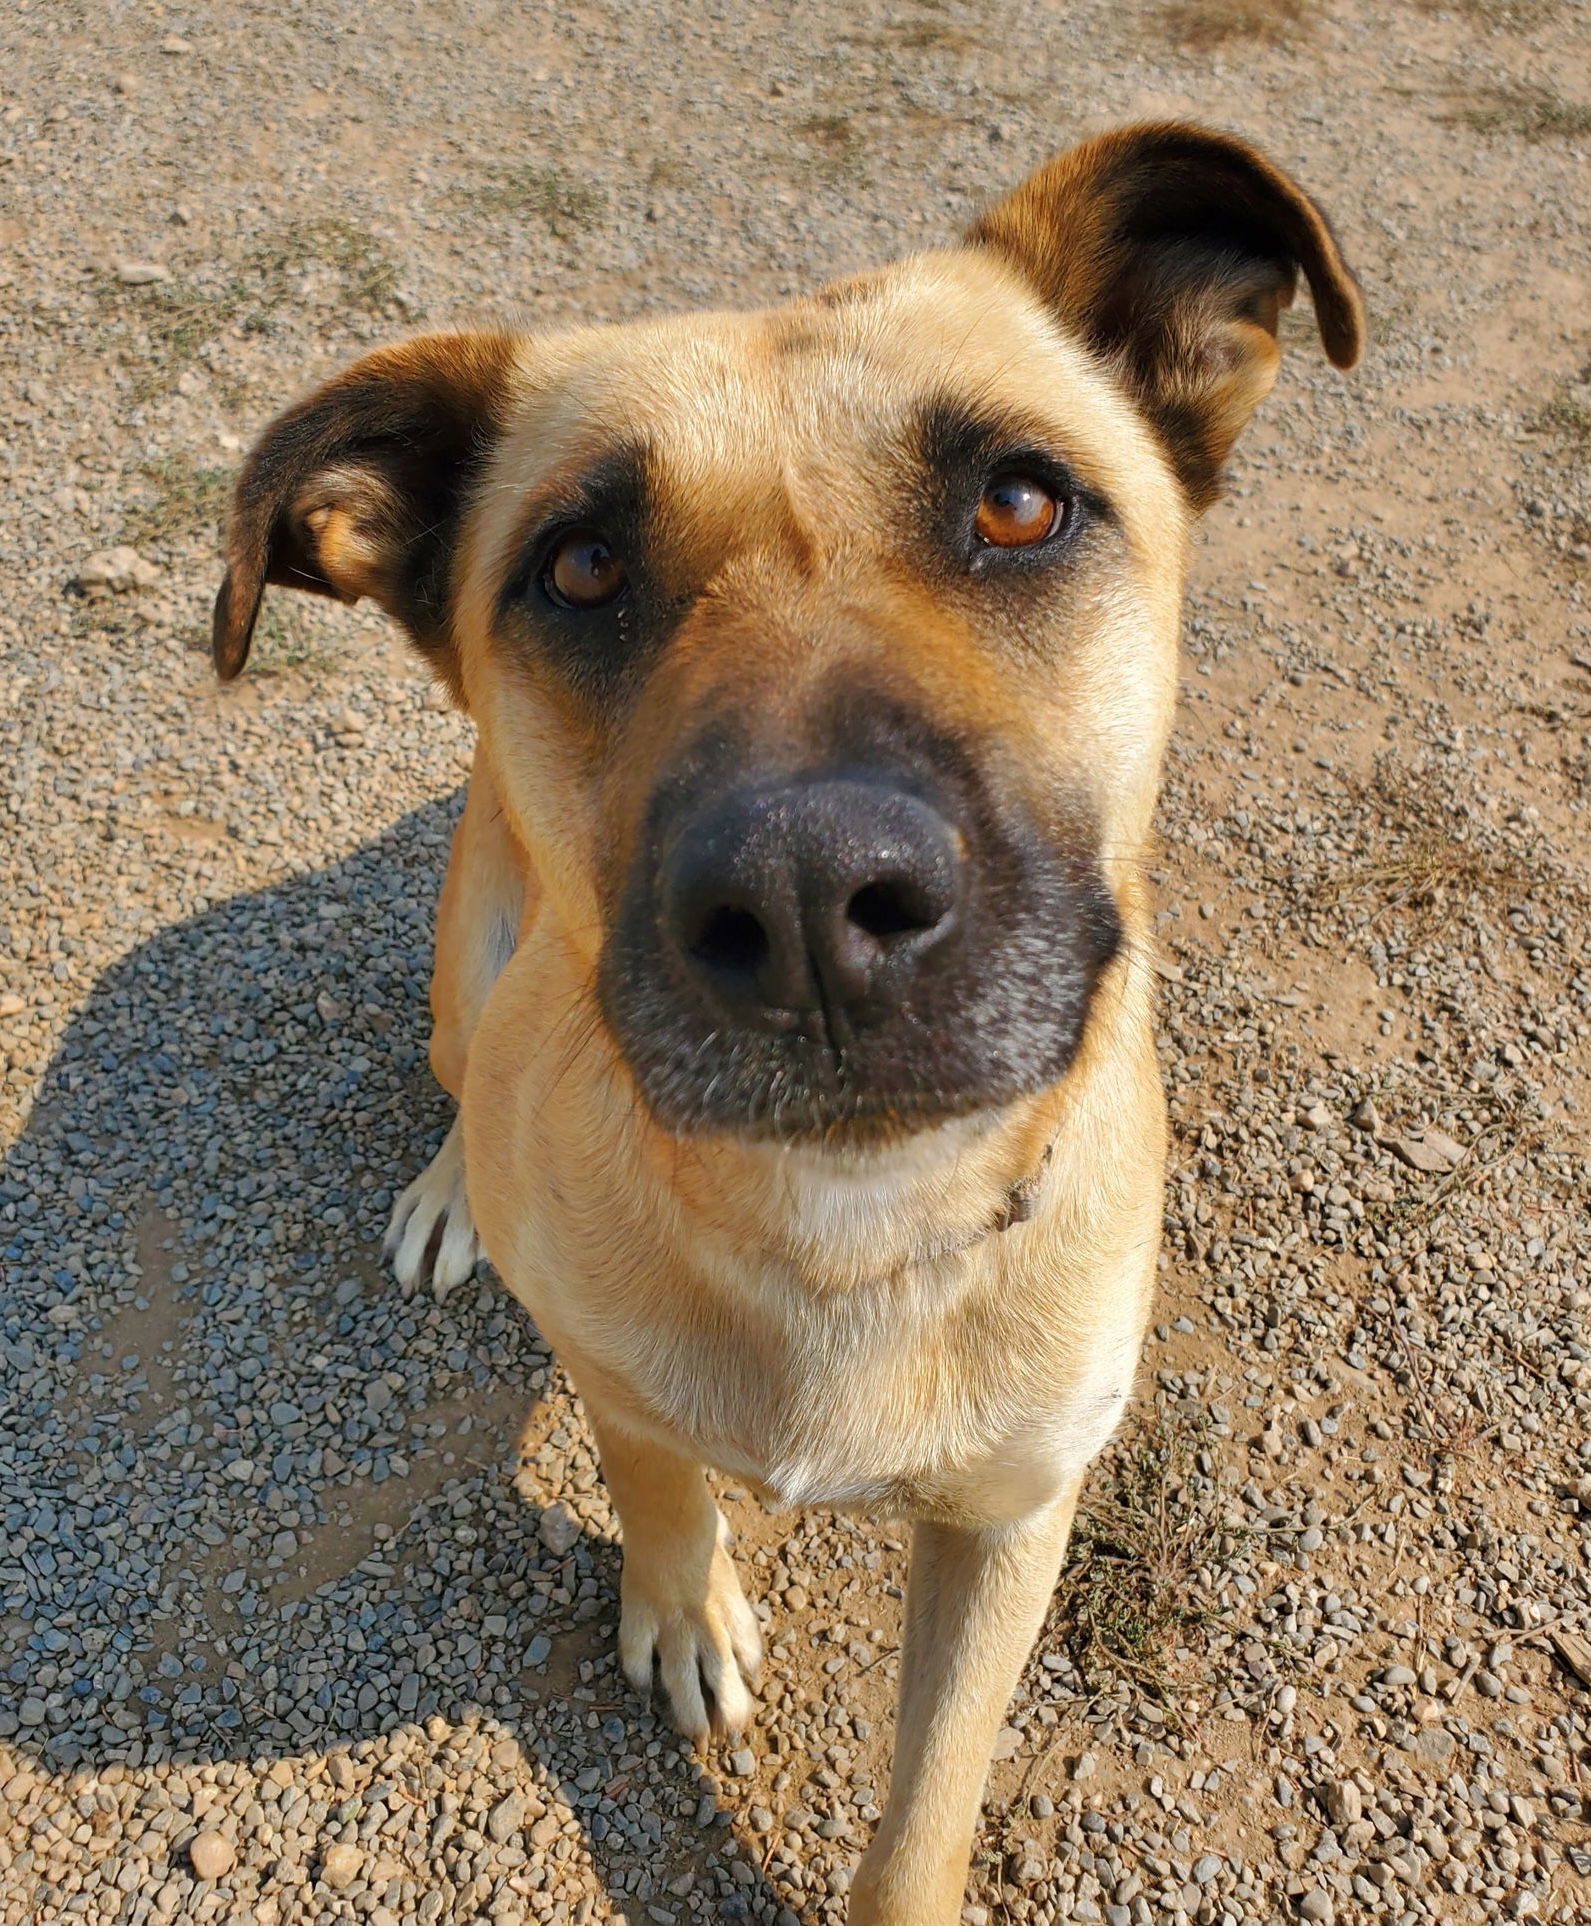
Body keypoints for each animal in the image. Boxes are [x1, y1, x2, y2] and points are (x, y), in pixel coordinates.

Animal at [208, 124, 1348, 1926]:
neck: (844, 1220)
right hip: (476, 955)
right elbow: (659, 1483)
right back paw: (456, 1187)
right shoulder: (613, 1371)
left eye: (1021, 499)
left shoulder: (1013, 1521)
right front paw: (682, 1607)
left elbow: (925, 1808)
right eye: (579, 565)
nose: (811, 901)